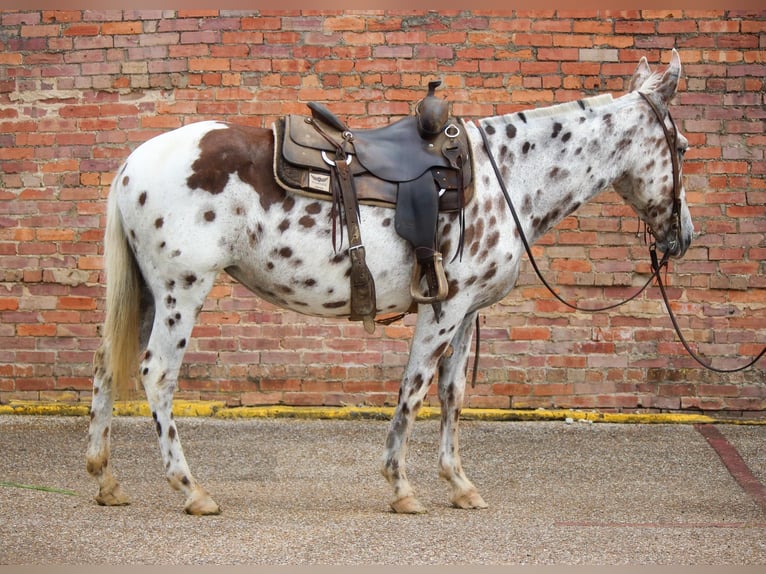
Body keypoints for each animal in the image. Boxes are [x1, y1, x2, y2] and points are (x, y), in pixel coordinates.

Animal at [85, 50, 696, 516]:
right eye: (684, 147)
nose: (684, 236)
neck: (503, 177)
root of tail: (131, 167)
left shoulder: (467, 311)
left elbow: (452, 393)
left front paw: (459, 484)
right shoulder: (443, 309)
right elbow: (413, 389)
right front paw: (402, 487)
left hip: (147, 293)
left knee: (107, 365)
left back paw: (106, 479)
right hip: (180, 291)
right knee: (157, 374)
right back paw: (191, 491)